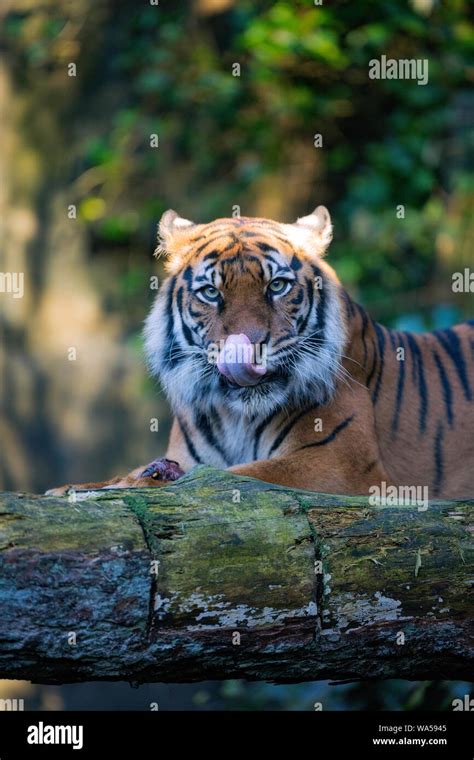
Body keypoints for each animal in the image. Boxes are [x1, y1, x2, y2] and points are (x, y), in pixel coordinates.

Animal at [49, 203, 474, 498]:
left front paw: (134, 483)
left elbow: (233, 476)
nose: (248, 349)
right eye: (211, 292)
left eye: (277, 286)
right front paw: (75, 487)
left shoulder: (339, 465)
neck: (234, 415)